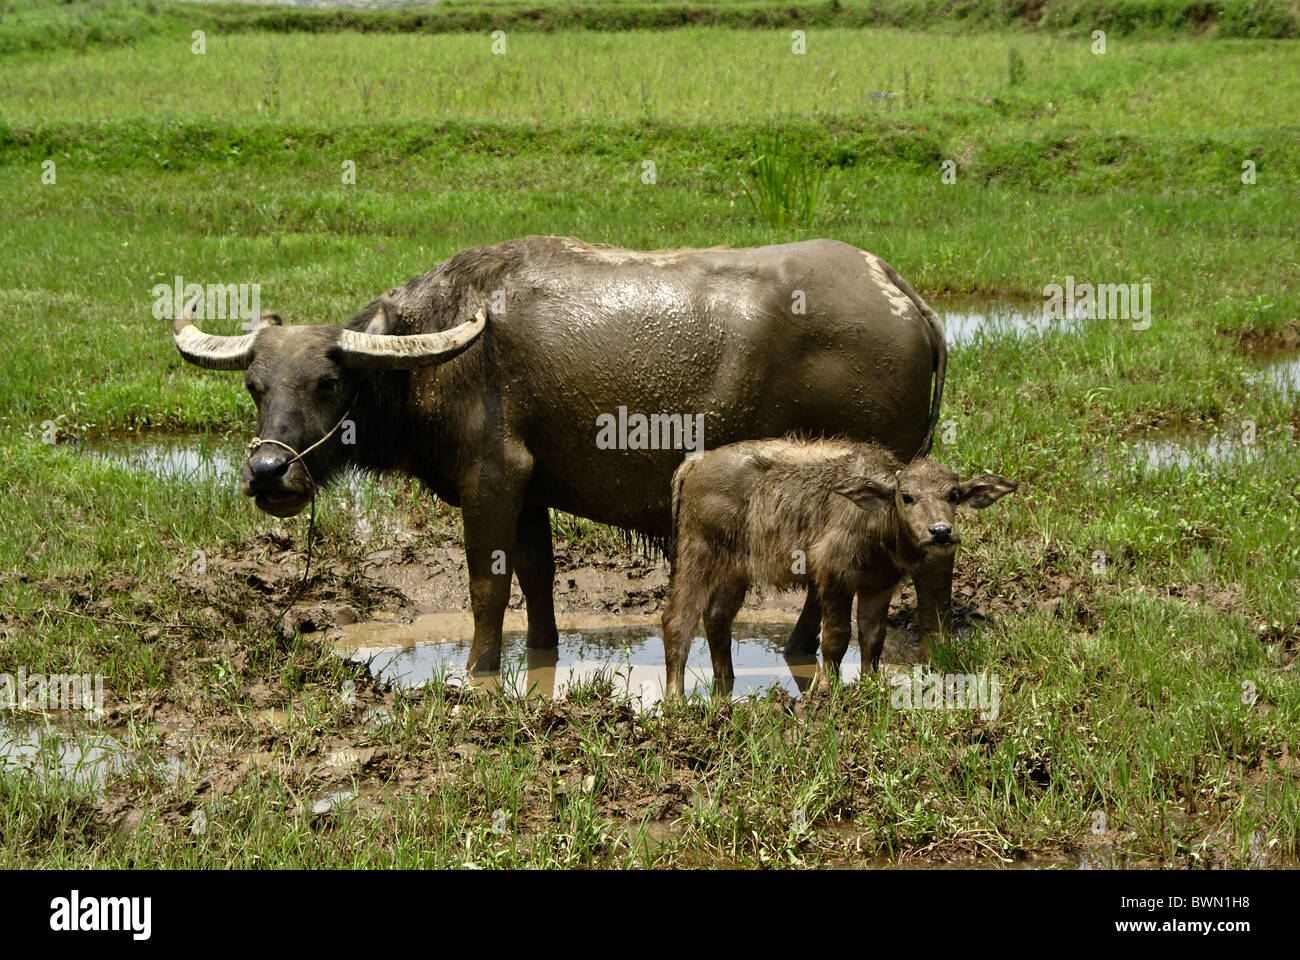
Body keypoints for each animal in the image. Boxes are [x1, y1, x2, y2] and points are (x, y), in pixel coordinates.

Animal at [170, 235, 946, 671]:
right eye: (255, 385)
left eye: (328, 383)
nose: (269, 473)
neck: (437, 356)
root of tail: (909, 300)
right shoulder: (531, 490)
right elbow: (537, 577)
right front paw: (542, 652)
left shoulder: (491, 480)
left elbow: (486, 586)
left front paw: (480, 668)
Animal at [665, 437, 1019, 692]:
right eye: (907, 496)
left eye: (953, 495)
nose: (941, 532)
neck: (878, 525)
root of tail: (696, 462)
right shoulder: (833, 575)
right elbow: (836, 636)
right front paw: (829, 688)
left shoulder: (879, 586)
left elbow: (872, 636)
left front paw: (870, 684)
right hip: (697, 553)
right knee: (677, 621)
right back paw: (676, 700)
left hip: (735, 569)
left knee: (716, 617)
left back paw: (726, 682)